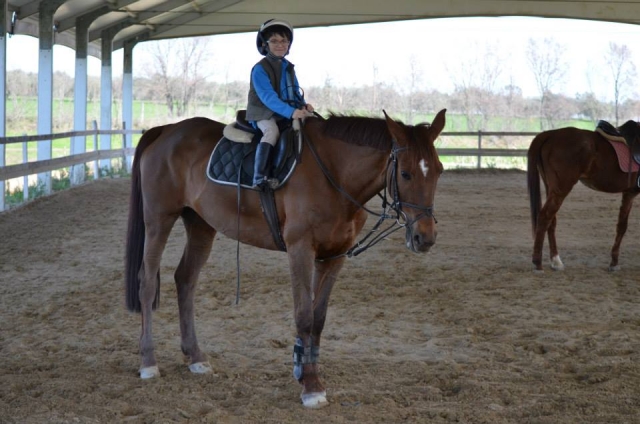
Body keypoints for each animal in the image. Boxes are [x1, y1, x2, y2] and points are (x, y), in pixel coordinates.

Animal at [124, 109, 447, 408]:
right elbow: (304, 315)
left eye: (439, 170)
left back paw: (195, 357)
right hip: (159, 220)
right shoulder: (300, 249)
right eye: (405, 174)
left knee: (186, 280)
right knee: (147, 283)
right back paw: (148, 362)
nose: (425, 237)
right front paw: (311, 386)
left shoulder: (334, 255)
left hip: (201, 225)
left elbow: (318, 317)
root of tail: (166, 130)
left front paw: (306, 372)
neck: (334, 173)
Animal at [527, 122, 640, 272]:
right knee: (545, 217)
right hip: (561, 188)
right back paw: (538, 262)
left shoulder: (629, 193)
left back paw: (556, 261)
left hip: (551, 187)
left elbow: (621, 226)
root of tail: (551, 134)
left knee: (551, 220)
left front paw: (614, 263)